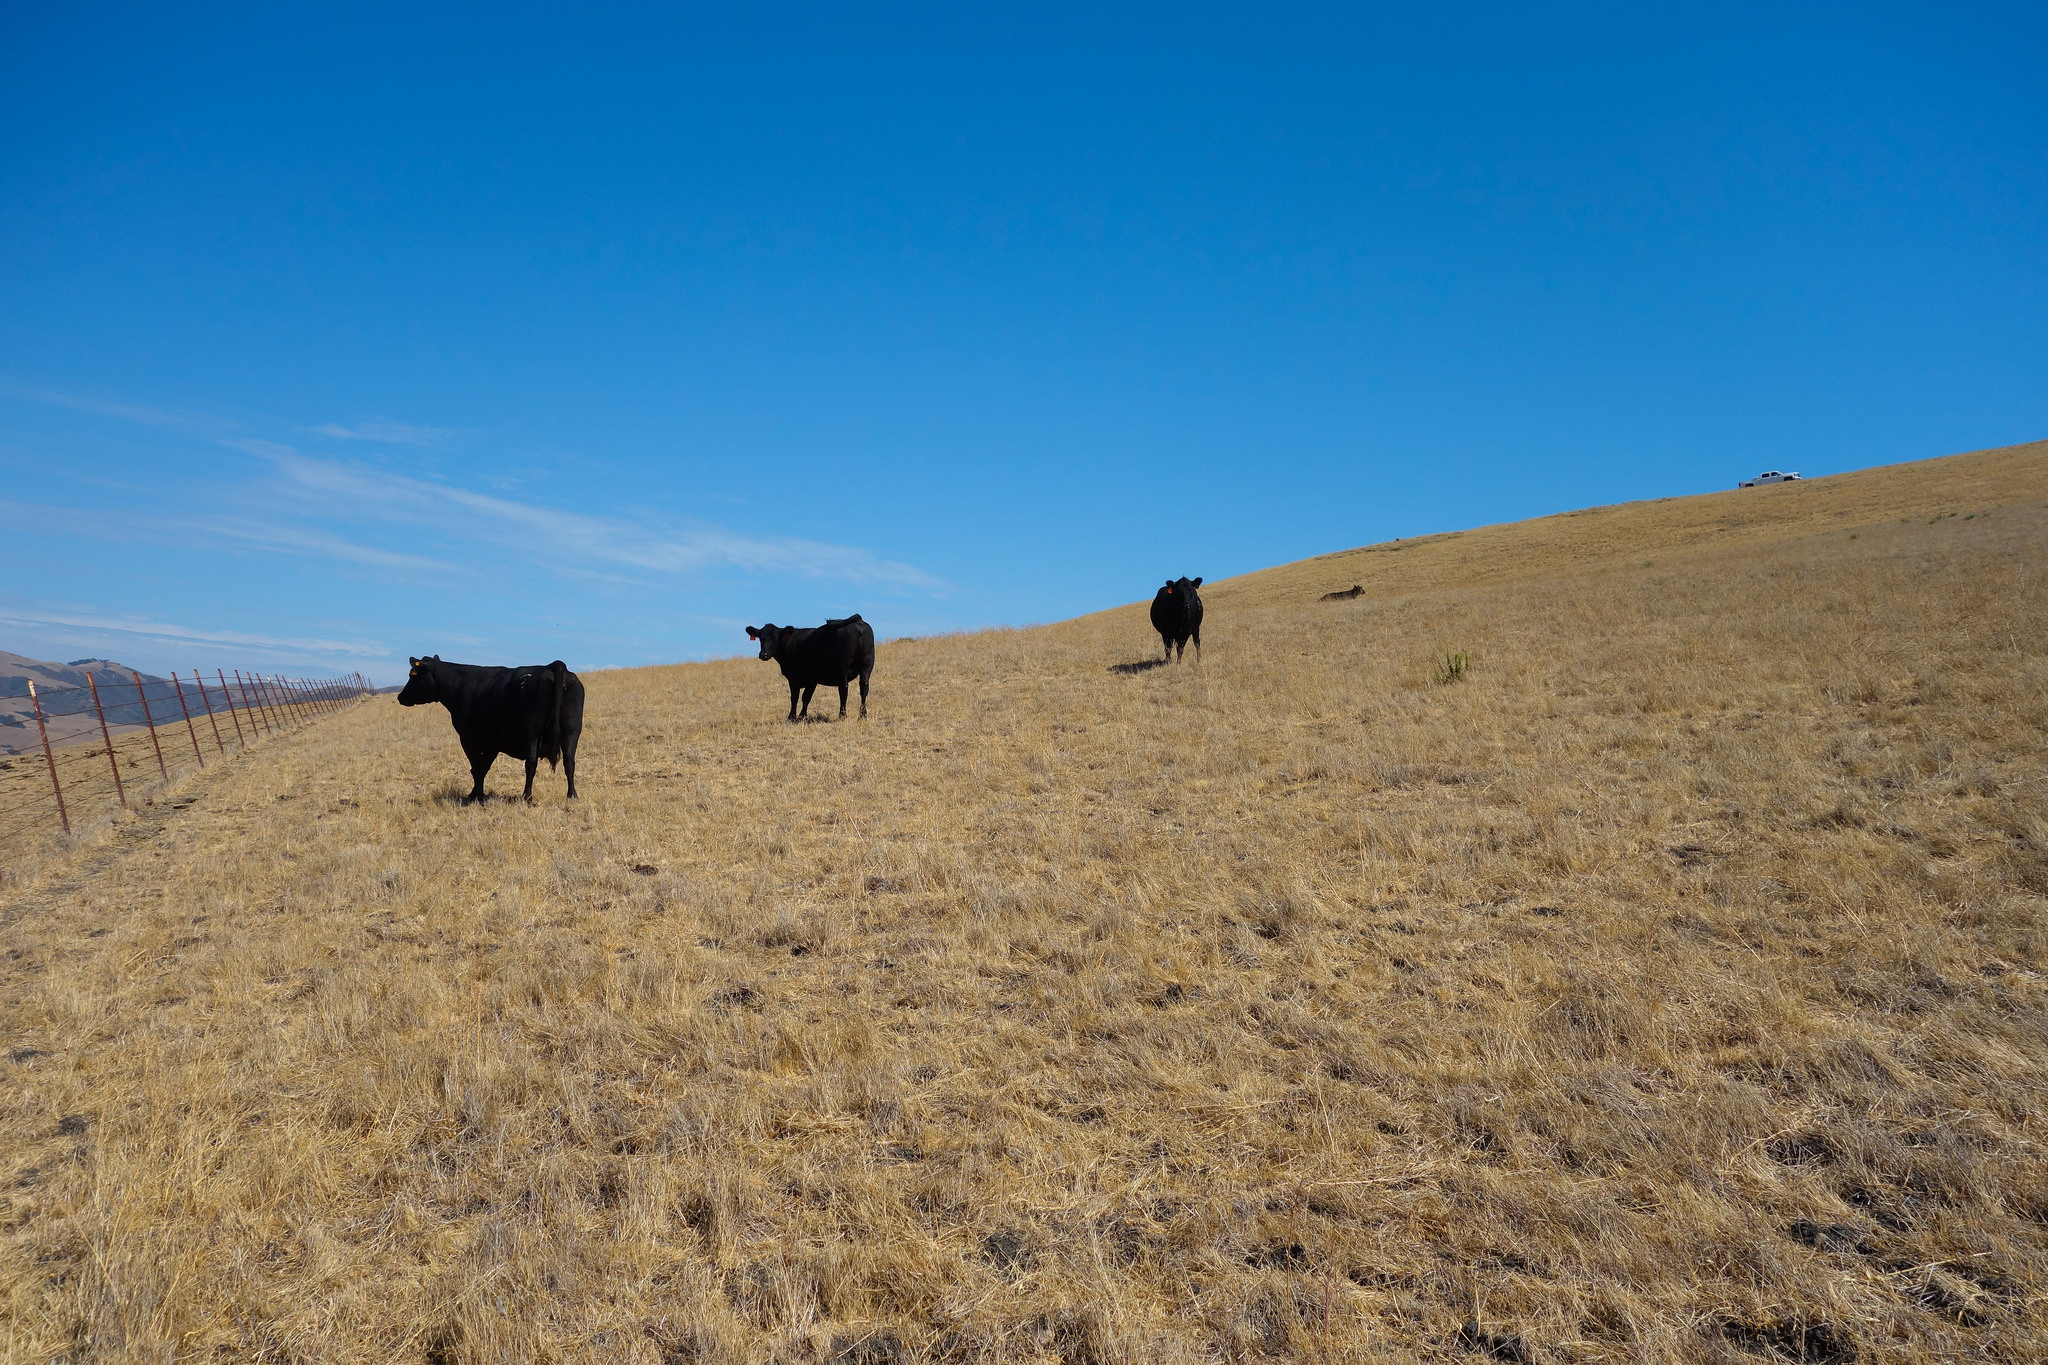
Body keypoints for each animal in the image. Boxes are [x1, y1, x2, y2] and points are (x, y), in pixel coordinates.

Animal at [395, 654, 585, 806]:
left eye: (413, 675)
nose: (400, 697)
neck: (461, 685)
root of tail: (554, 666)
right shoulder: (493, 741)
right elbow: (484, 766)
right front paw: (476, 793)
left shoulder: (468, 737)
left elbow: (476, 767)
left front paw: (475, 796)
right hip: (572, 730)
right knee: (569, 761)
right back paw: (572, 795)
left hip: (533, 732)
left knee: (531, 763)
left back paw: (526, 796)